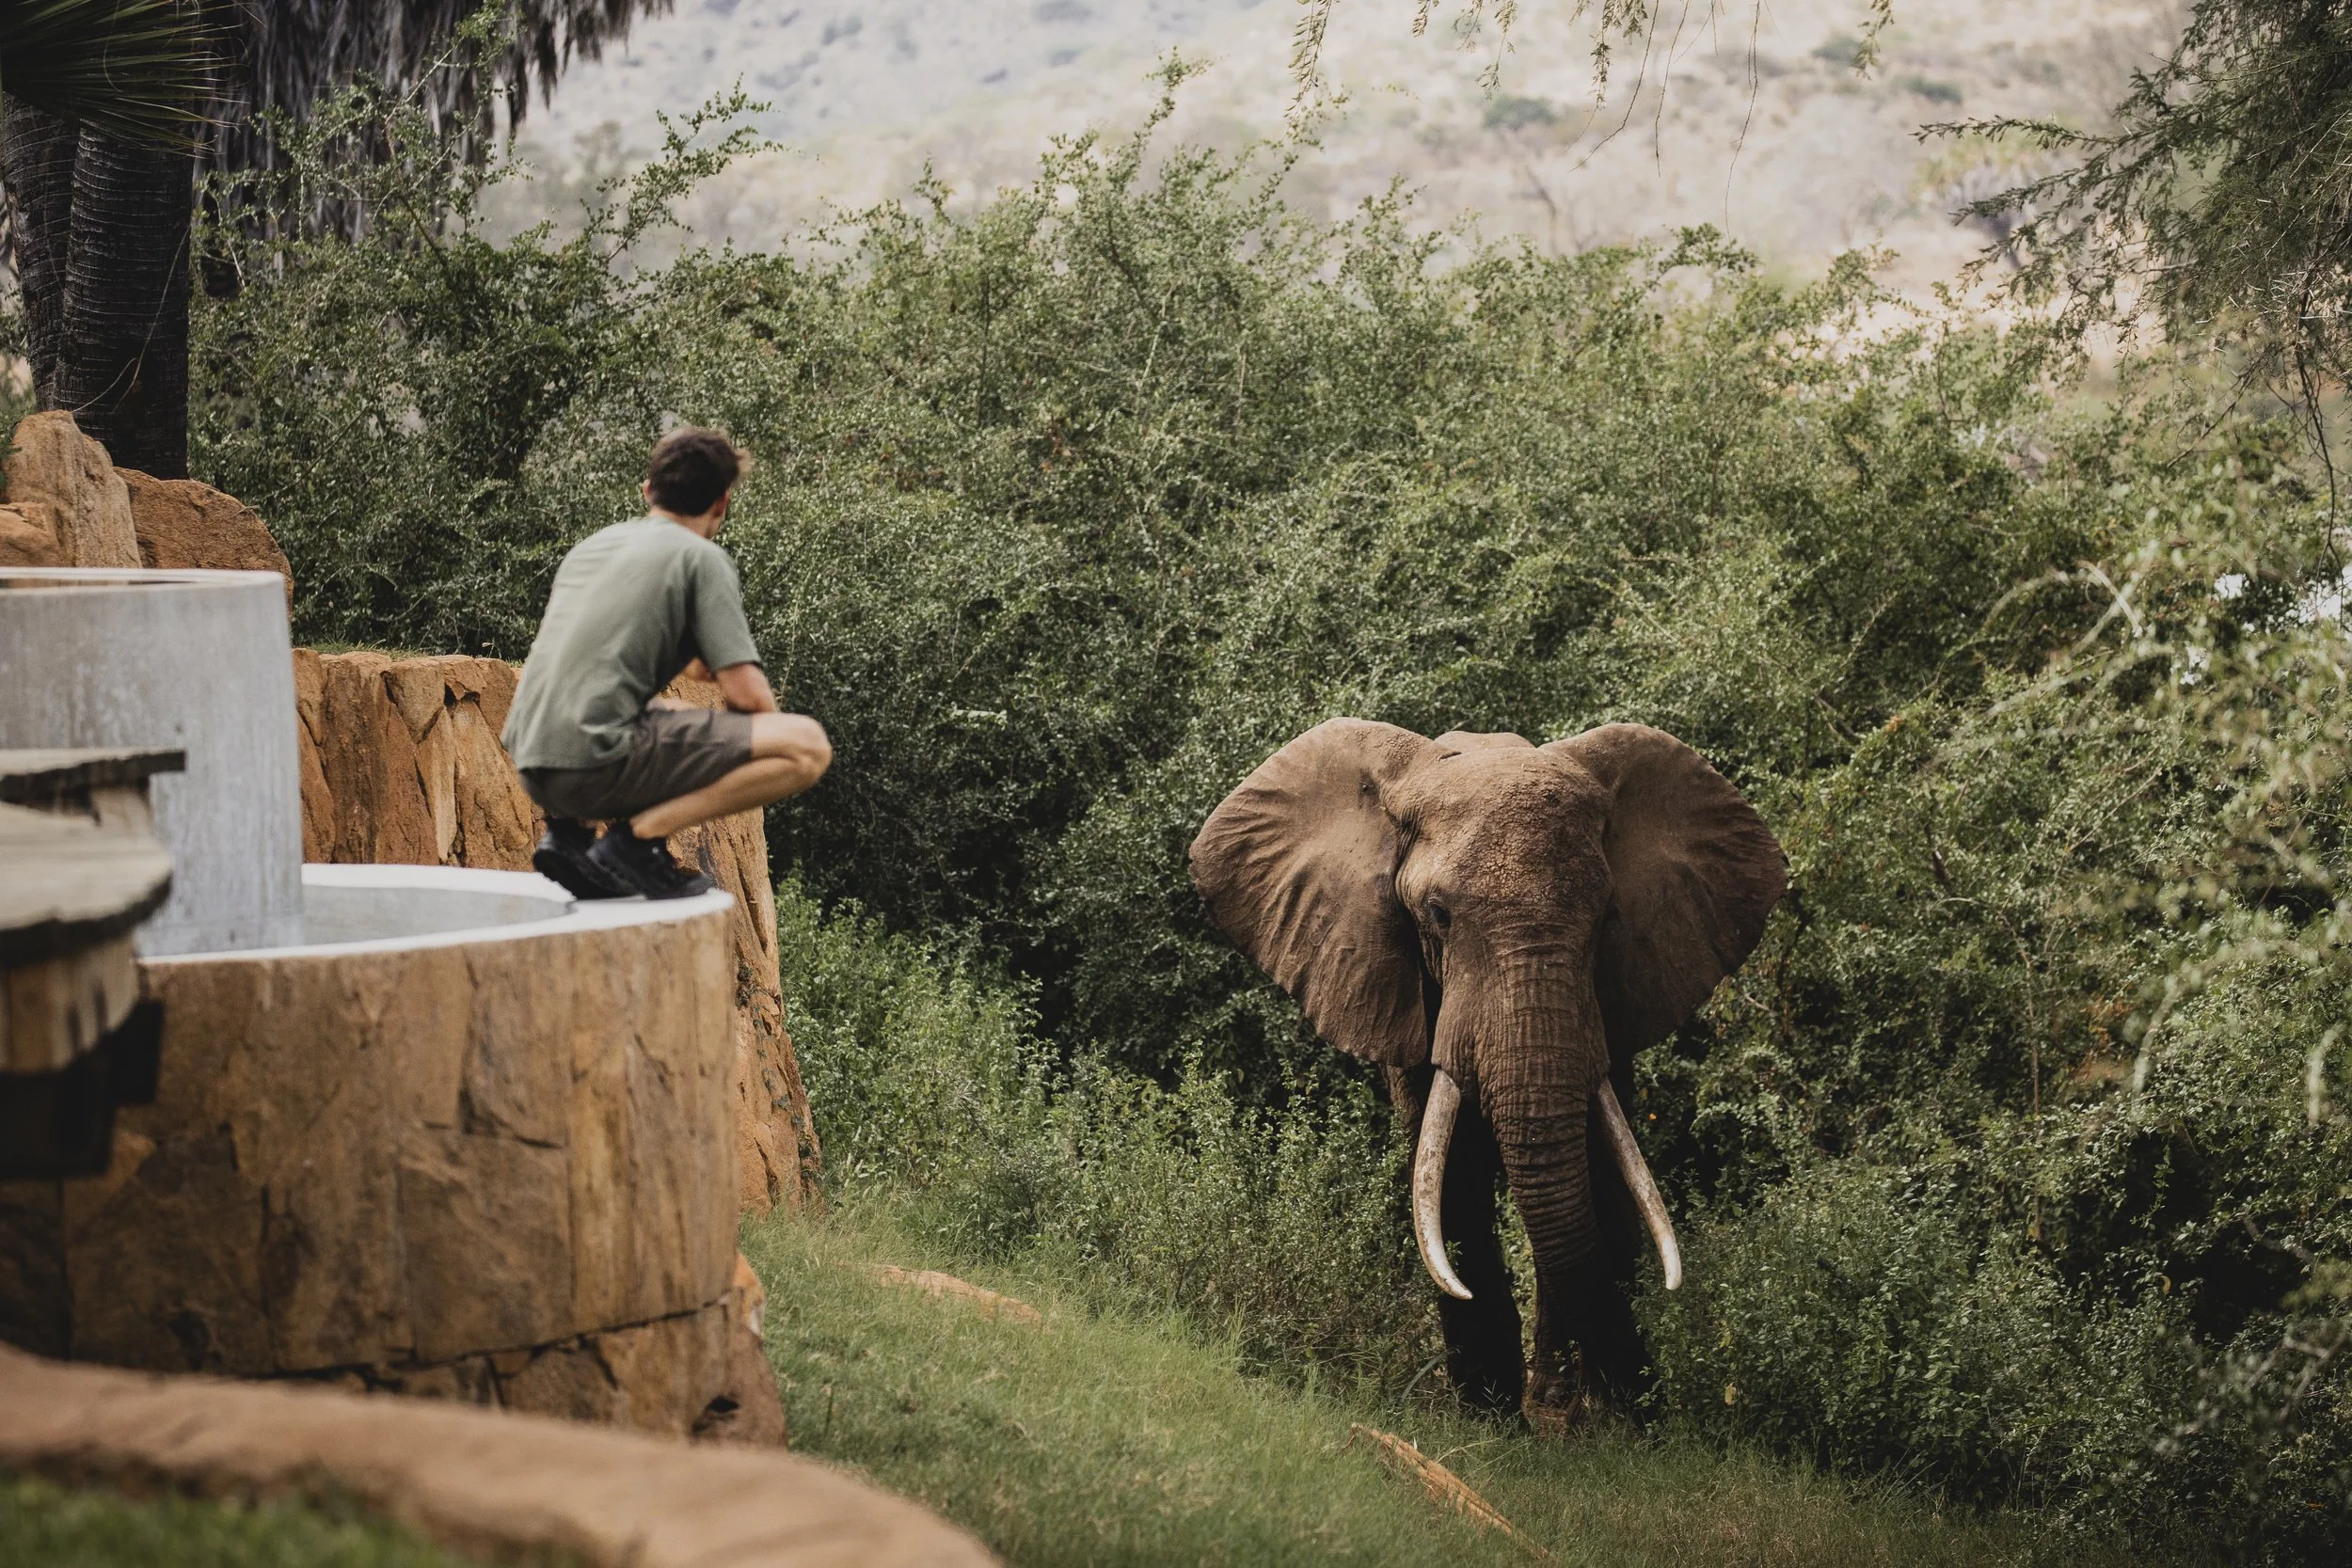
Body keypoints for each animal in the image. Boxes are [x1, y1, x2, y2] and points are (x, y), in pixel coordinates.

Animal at [1189, 719, 1786, 1421]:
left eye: (1606, 918)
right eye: (1437, 915)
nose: (1644, 1399)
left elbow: (1600, 1165)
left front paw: (1621, 1418)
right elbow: (1451, 1174)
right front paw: (1491, 1415)